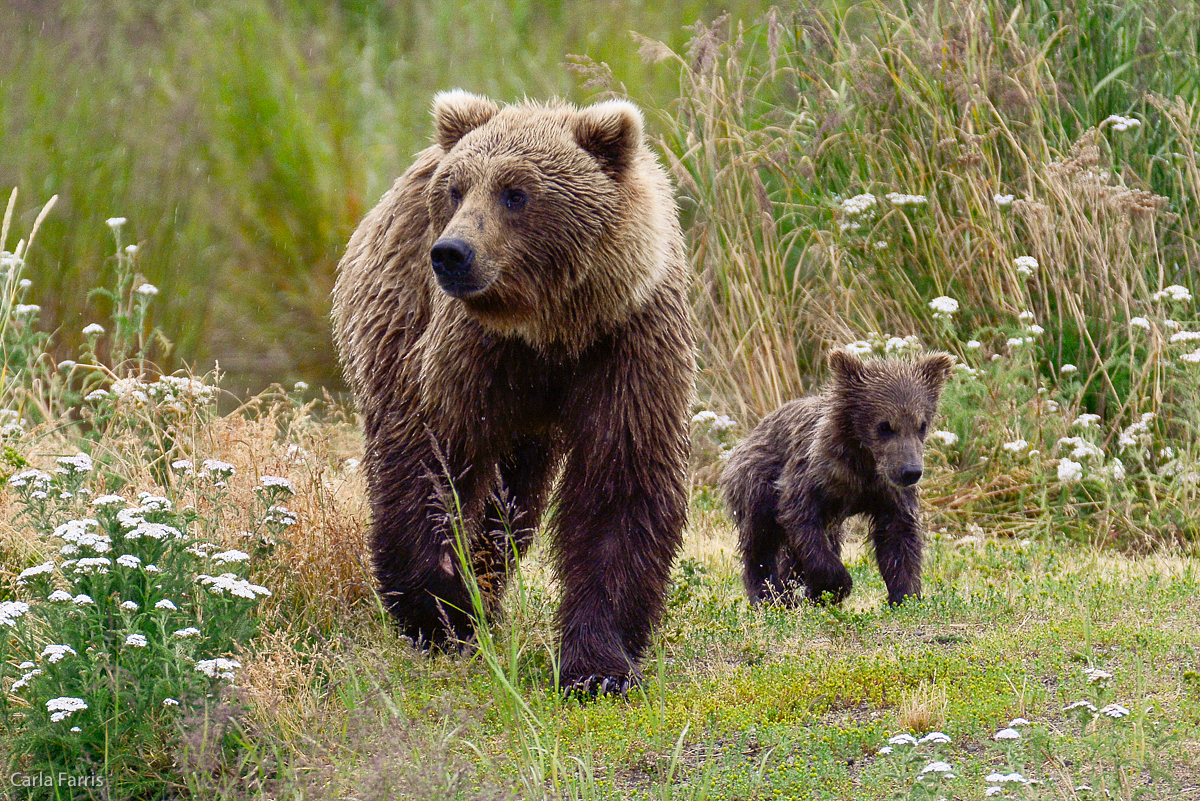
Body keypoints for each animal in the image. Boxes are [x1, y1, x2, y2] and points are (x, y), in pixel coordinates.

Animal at [336, 89, 696, 695]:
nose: (451, 252)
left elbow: (620, 487)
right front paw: (439, 612)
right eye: (456, 188)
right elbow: (432, 463)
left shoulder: (627, 345)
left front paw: (598, 663)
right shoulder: (467, 355)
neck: (551, 332)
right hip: (394, 319)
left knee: (513, 502)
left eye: (516, 192)